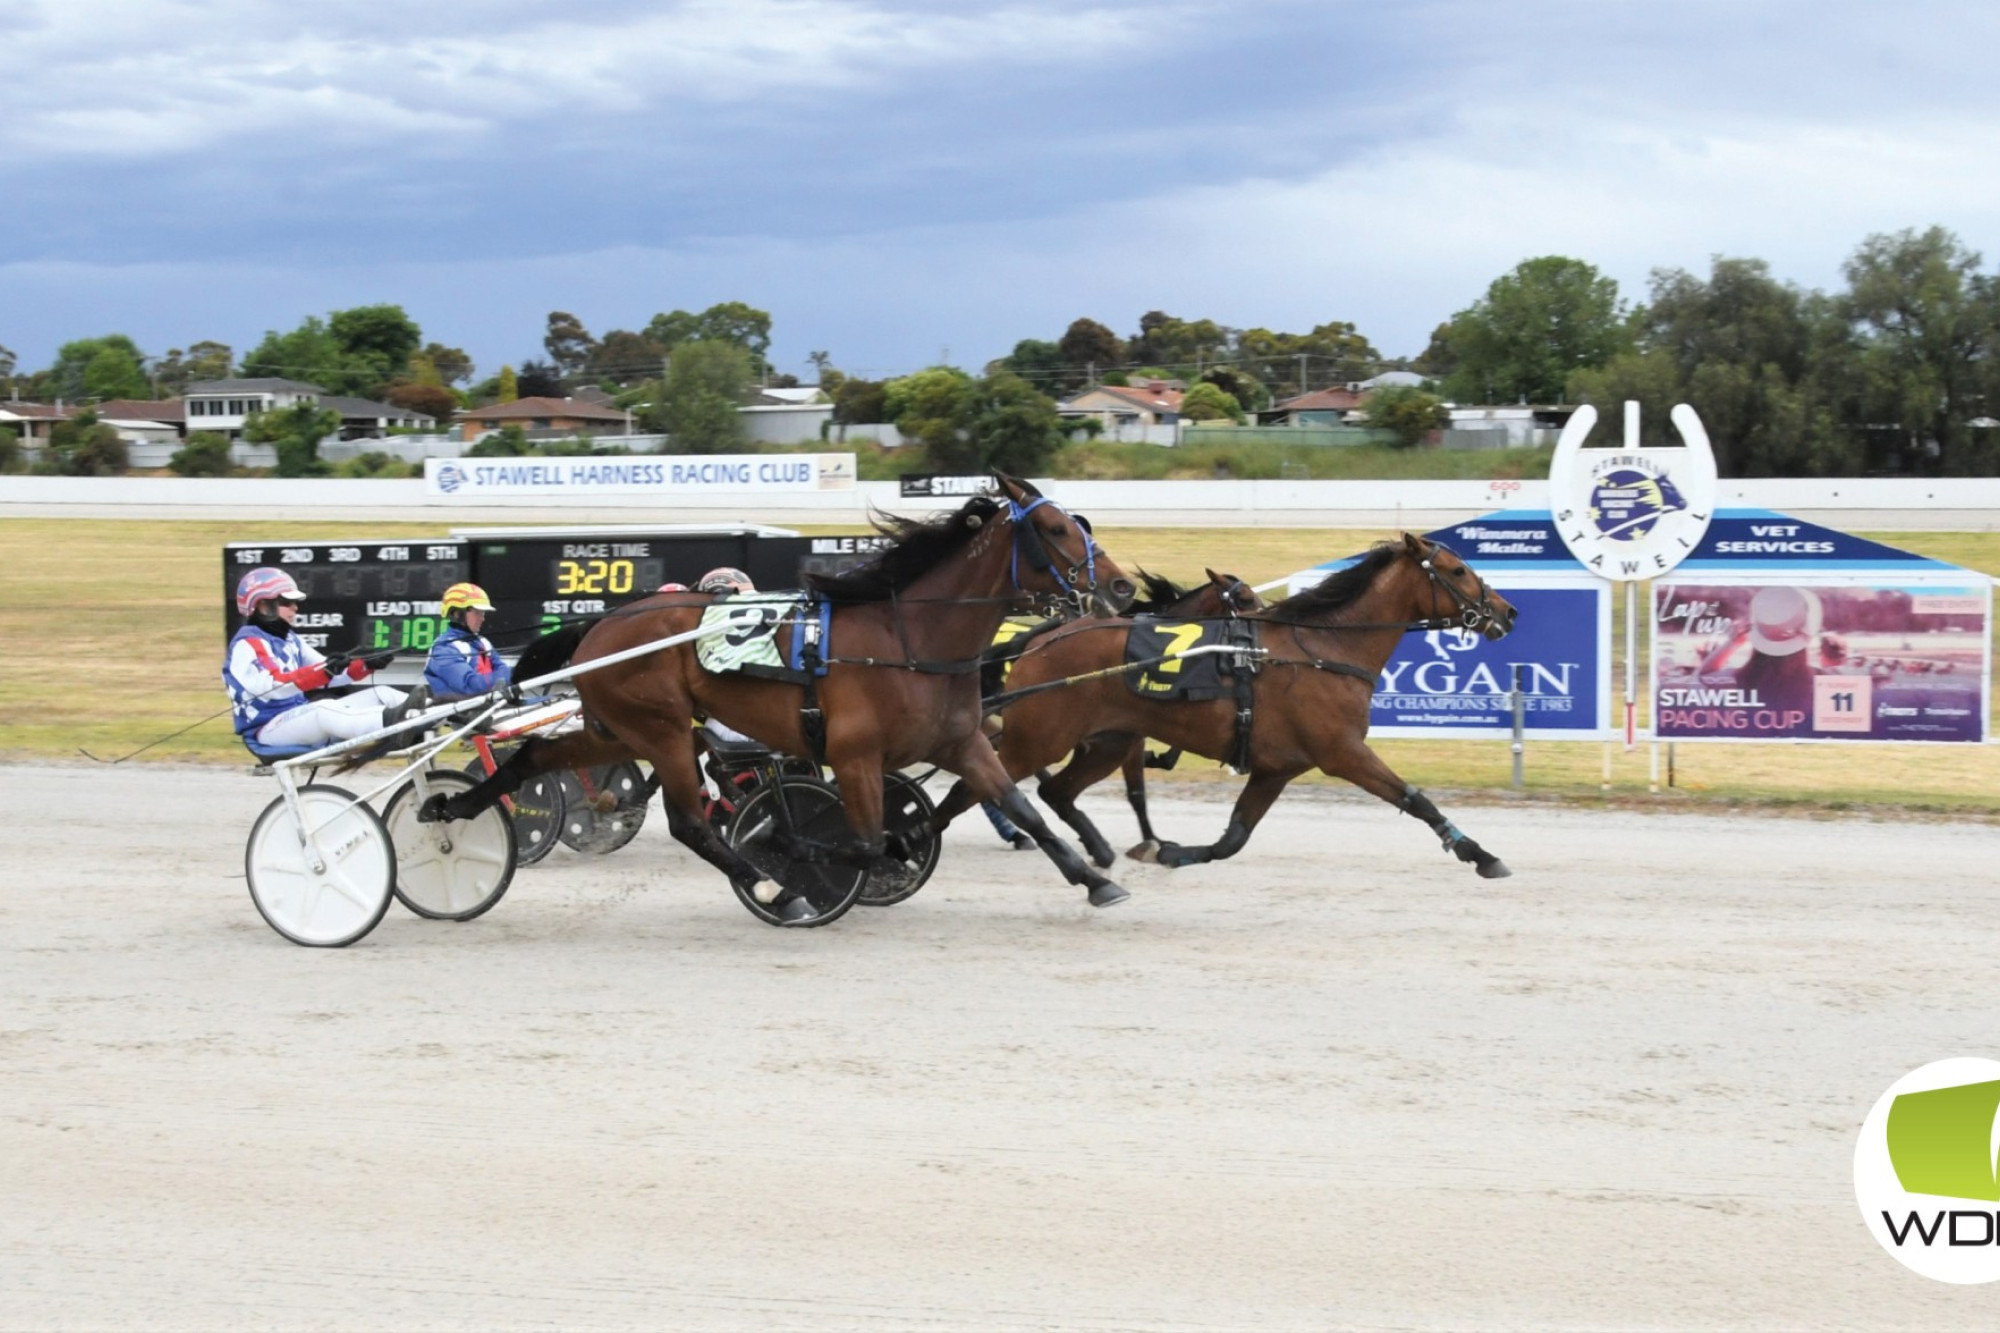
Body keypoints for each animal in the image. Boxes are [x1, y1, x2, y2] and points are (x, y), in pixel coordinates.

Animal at [418, 478, 1144, 924]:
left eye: (1079, 522)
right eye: (1053, 527)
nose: (1121, 586)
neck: (905, 637)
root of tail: (599, 626)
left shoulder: (961, 742)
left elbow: (1022, 807)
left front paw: (1096, 878)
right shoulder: (854, 754)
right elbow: (862, 841)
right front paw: (792, 848)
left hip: (615, 728)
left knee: (535, 757)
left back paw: (454, 806)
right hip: (663, 729)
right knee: (689, 823)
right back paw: (773, 886)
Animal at [932, 536, 1512, 876]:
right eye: (1457, 570)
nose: (1507, 611)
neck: (1323, 651)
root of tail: (1037, 642)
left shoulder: (1278, 767)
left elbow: (1233, 836)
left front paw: (1170, 851)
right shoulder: (1342, 753)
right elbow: (1416, 799)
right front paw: (1480, 854)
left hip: (1106, 741)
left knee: (1051, 790)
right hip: (1038, 738)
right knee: (973, 789)